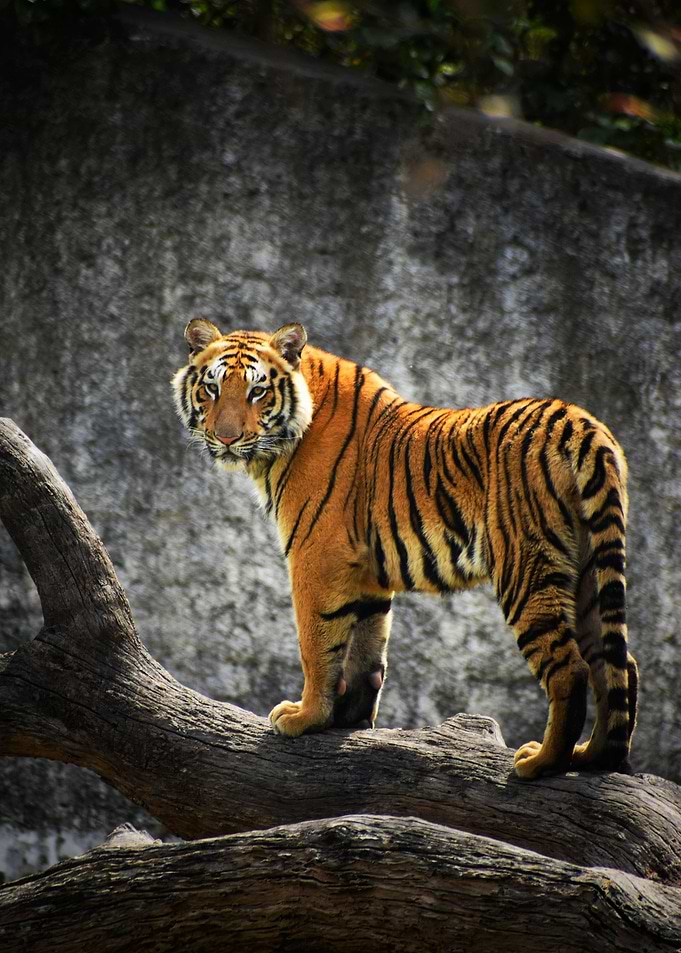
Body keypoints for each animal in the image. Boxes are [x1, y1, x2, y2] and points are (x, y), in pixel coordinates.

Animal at [172, 319, 638, 779]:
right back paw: (592, 757)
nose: (226, 438)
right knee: (617, 664)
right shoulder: (365, 572)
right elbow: (366, 648)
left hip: (526, 568)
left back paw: (541, 763)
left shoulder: (316, 555)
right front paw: (349, 719)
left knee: (571, 669)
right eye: (212, 388)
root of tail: (582, 424)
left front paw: (305, 717)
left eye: (257, 391)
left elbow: (317, 644)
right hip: (589, 570)